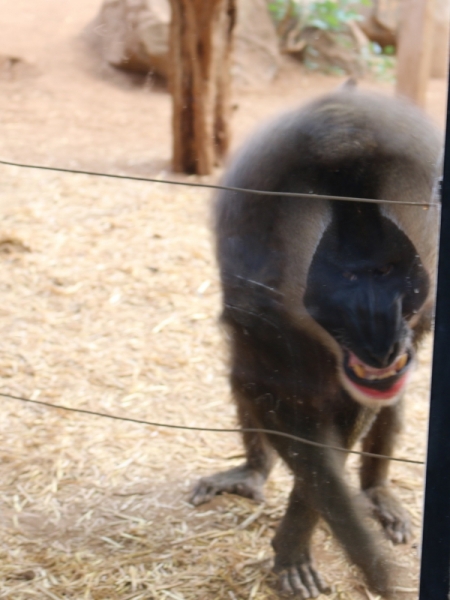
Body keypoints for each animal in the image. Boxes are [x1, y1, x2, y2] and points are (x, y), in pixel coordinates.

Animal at [188, 86, 442, 596]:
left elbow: (347, 420)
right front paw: (367, 566)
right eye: (346, 277)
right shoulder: (255, 300)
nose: (379, 335)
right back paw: (251, 472)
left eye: (389, 270)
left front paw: (296, 545)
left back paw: (377, 491)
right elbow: (270, 395)